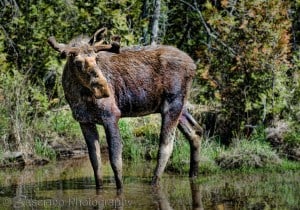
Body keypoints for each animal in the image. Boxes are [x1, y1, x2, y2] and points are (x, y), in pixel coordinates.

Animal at [48, 27, 202, 190]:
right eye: (77, 62)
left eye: (96, 59)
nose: (103, 88)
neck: (77, 97)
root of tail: (193, 65)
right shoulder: (84, 121)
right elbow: (95, 161)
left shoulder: (111, 115)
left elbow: (116, 161)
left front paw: (120, 188)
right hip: (179, 106)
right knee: (195, 131)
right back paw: (193, 174)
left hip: (172, 103)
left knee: (166, 145)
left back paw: (154, 182)